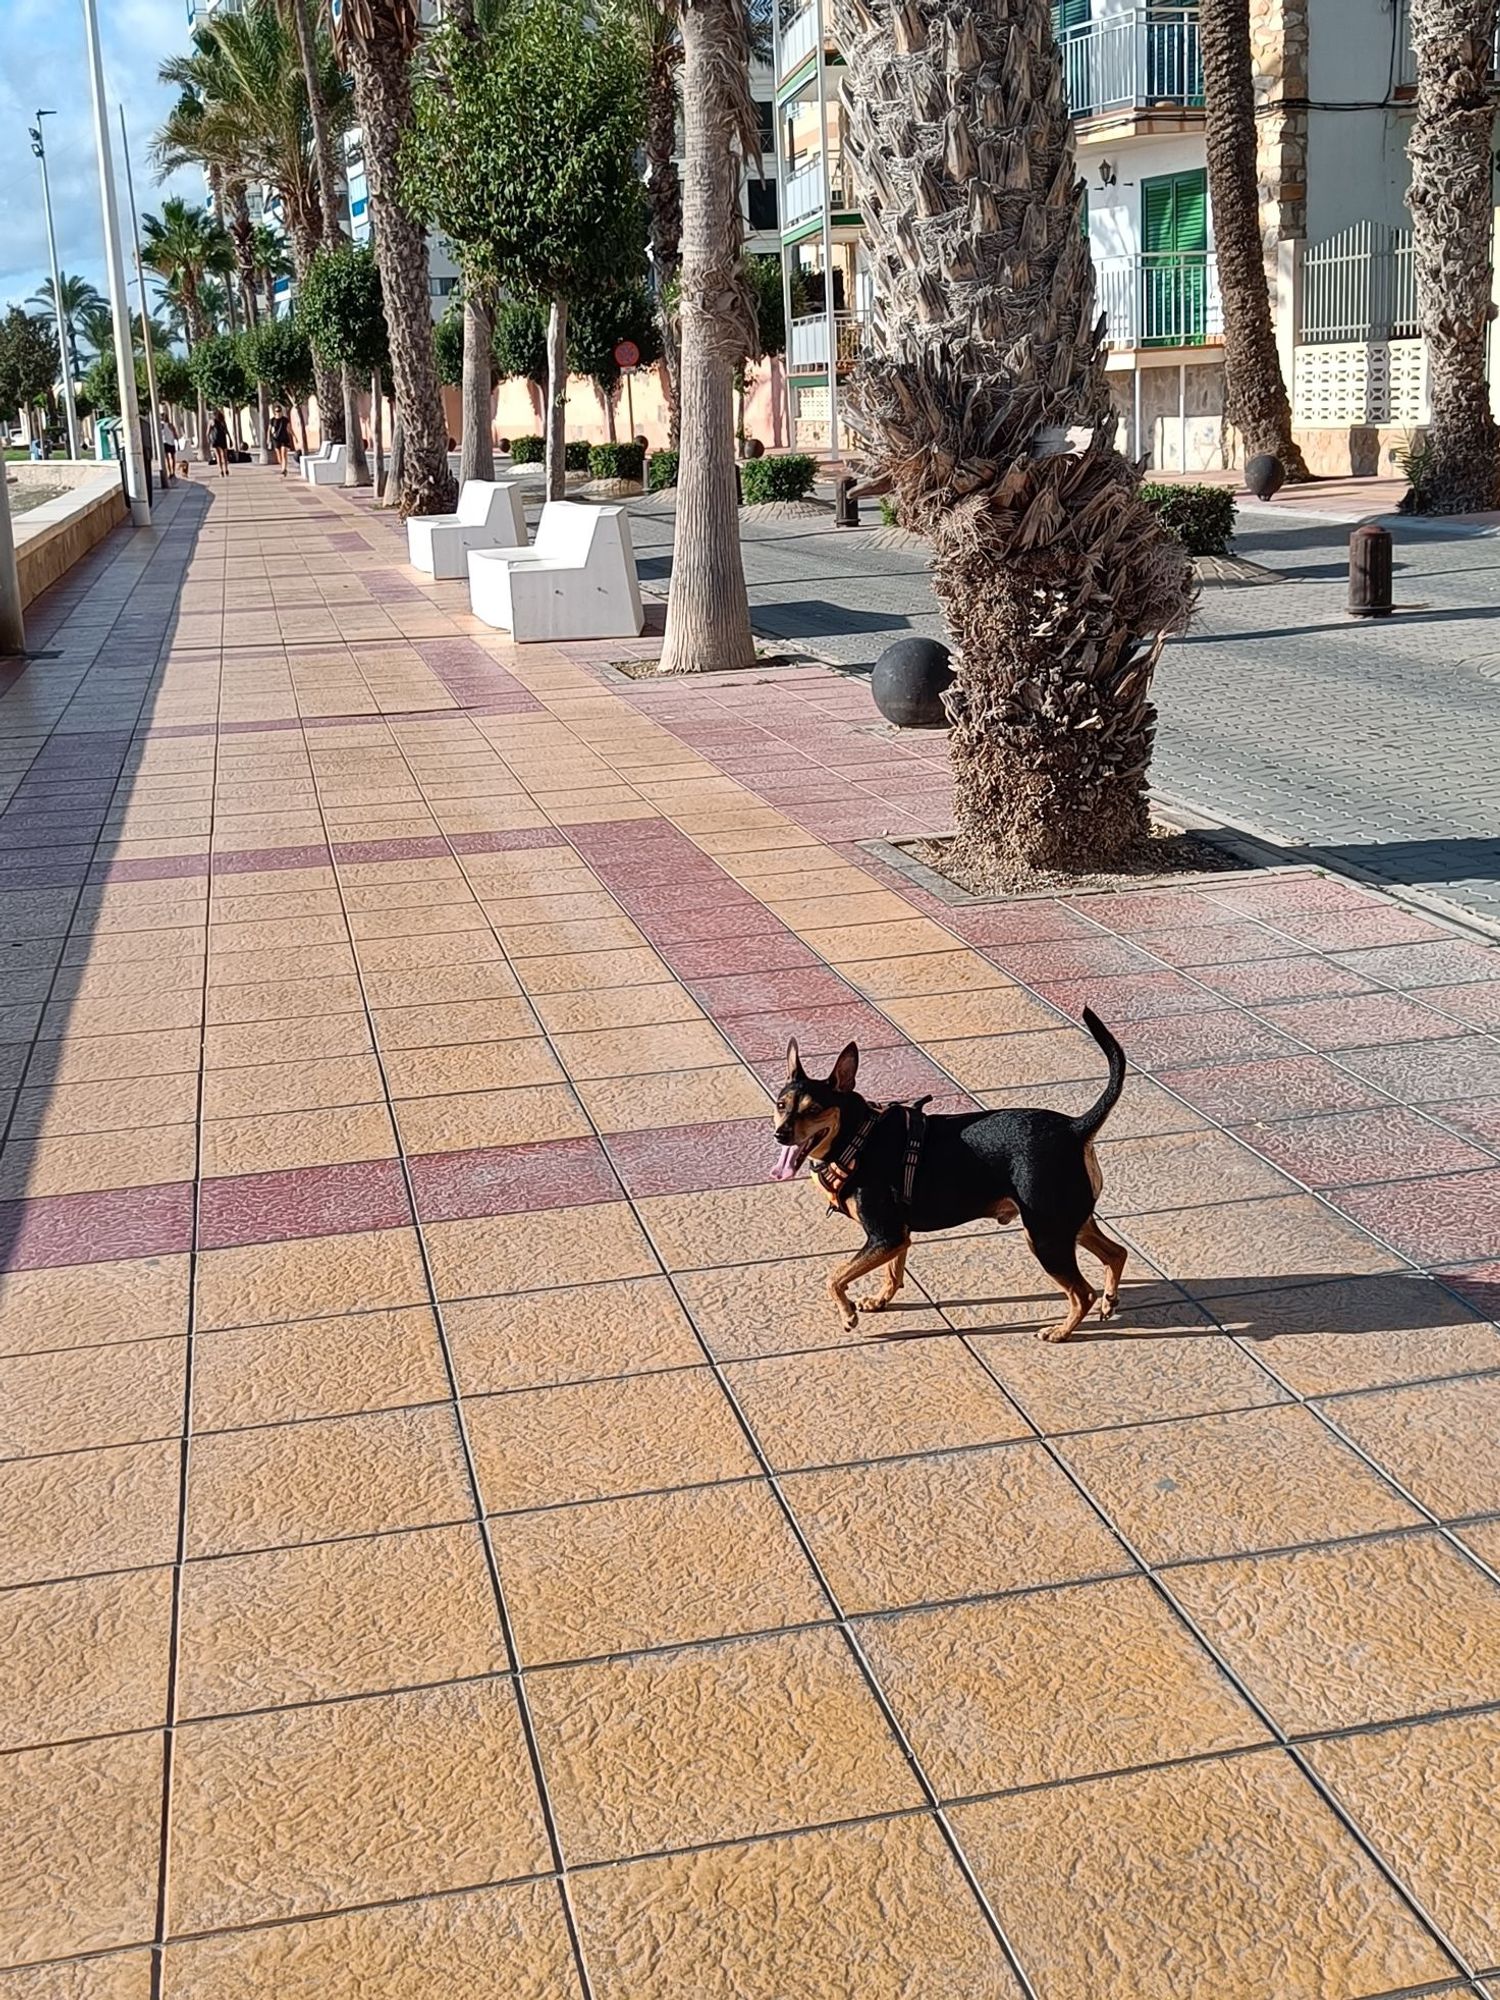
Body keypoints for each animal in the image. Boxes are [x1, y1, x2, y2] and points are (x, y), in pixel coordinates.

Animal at [768, 1016, 1136, 1344]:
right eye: (781, 1105)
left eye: (814, 1110)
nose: (780, 1134)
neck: (858, 1137)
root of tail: (1075, 1128)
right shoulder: (896, 1237)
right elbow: (893, 1271)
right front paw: (880, 1298)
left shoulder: (884, 1235)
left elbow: (834, 1276)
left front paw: (847, 1314)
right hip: (1069, 1222)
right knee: (1116, 1253)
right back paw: (1109, 1301)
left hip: (1046, 1236)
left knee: (1081, 1292)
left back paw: (1061, 1331)